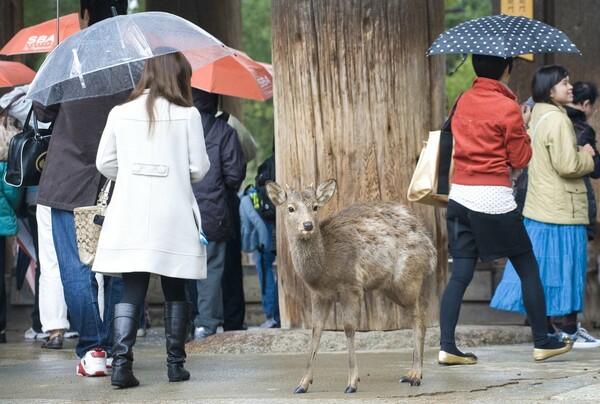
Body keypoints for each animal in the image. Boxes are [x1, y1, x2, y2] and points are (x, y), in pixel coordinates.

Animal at [268, 178, 436, 392]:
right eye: (290, 208)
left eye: (315, 206)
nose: (307, 225)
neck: (324, 267)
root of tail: (431, 249)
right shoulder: (318, 294)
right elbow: (315, 331)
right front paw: (302, 384)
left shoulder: (351, 285)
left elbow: (348, 328)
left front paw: (352, 383)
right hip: (390, 286)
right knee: (420, 307)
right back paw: (412, 373)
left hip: (408, 276)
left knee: (419, 312)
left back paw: (414, 375)